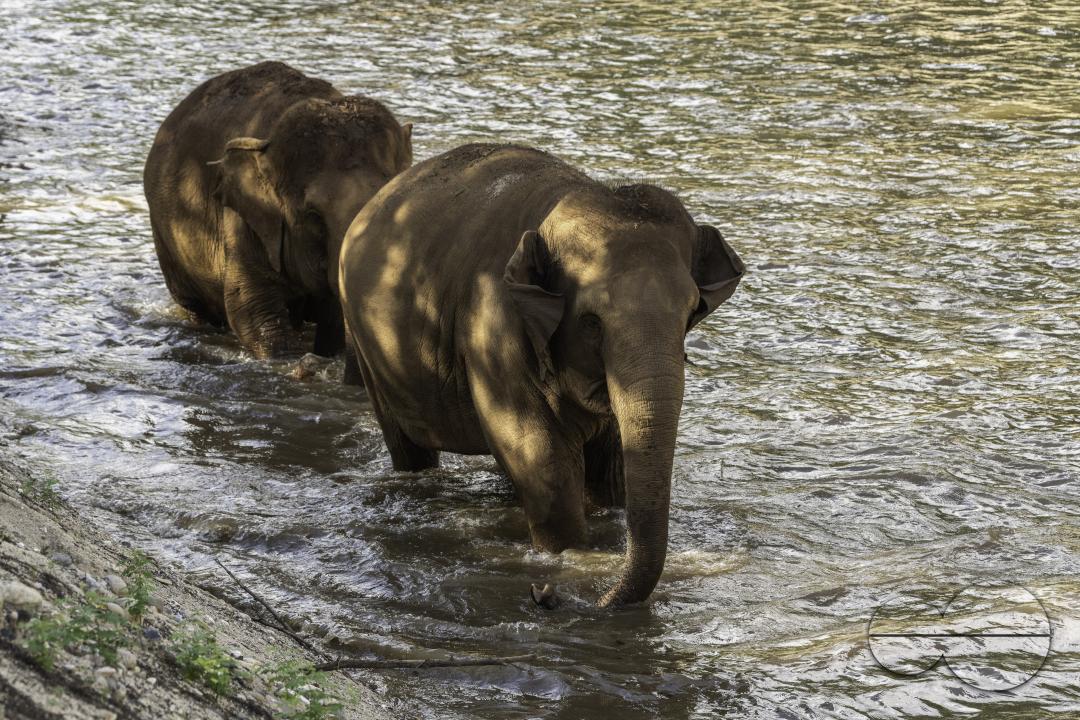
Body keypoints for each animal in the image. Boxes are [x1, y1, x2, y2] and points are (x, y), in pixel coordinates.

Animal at [339, 144, 744, 606]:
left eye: (691, 311)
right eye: (591, 322)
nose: (543, 593)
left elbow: (611, 467)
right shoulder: (493, 325)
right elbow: (541, 458)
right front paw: (566, 557)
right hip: (366, 343)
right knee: (409, 449)